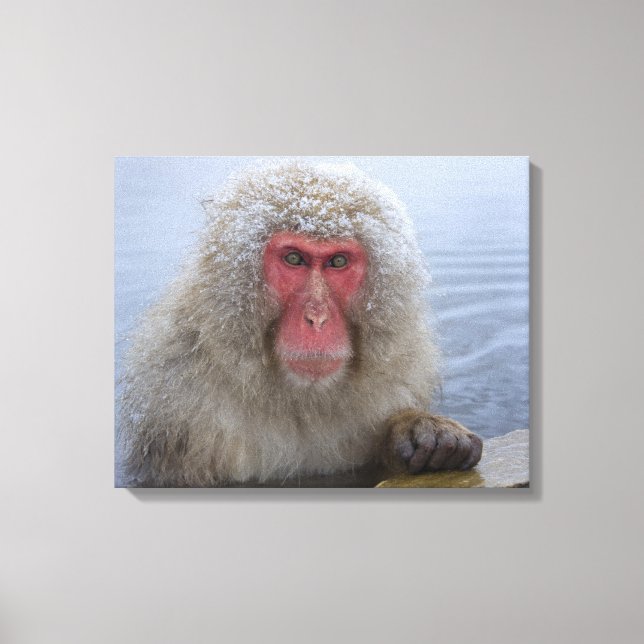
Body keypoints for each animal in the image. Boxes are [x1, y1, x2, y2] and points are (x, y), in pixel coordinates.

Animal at [116, 160, 483, 487]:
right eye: (294, 258)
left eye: (338, 261)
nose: (316, 317)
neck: (298, 399)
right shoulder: (173, 401)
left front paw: (420, 431)